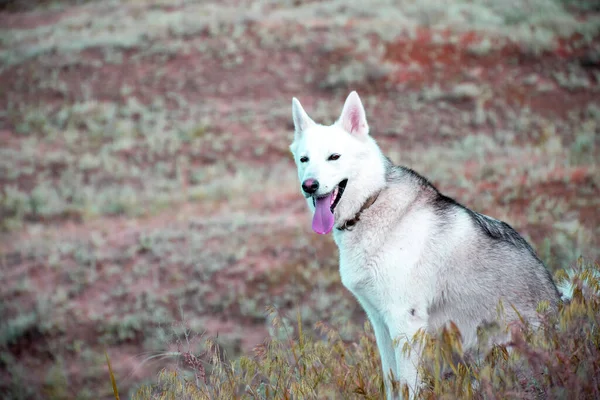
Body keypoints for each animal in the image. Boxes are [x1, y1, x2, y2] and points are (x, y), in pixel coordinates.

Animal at [290, 91, 564, 400]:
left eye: (334, 156)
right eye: (304, 159)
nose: (309, 185)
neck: (370, 205)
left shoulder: (405, 321)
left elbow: (408, 385)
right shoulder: (381, 322)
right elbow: (392, 382)